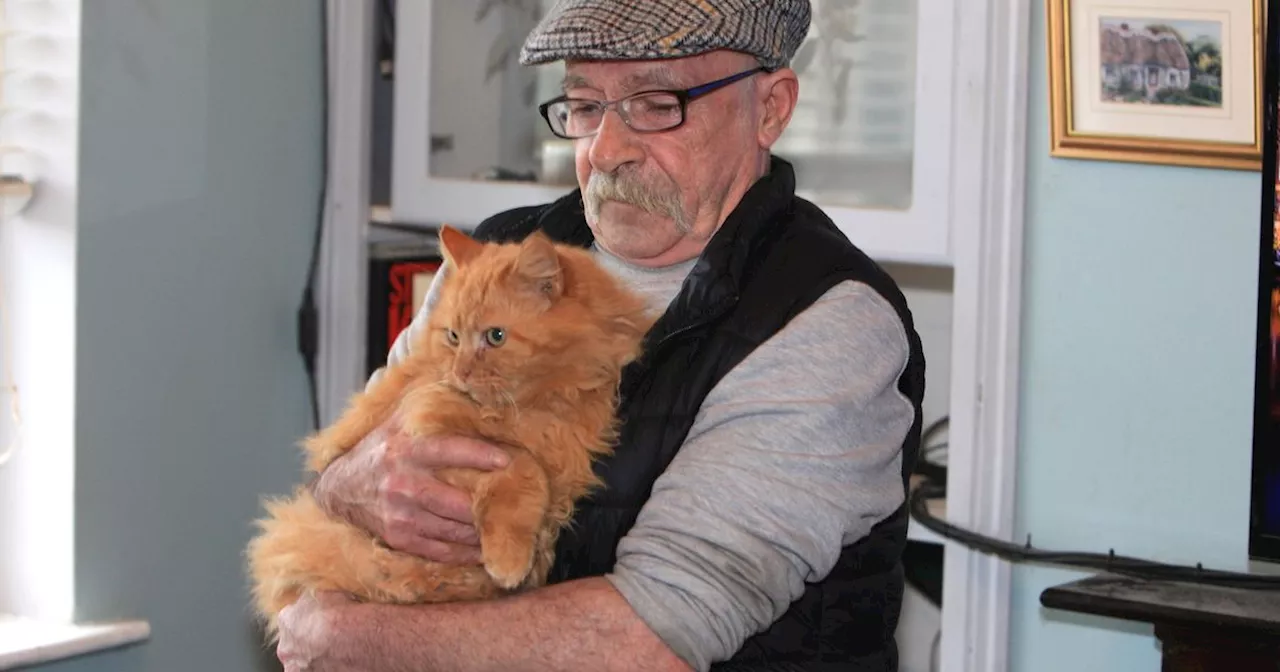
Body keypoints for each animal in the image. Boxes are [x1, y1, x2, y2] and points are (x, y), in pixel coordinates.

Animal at [245, 225, 655, 634]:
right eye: (453, 336)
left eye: (495, 337)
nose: (461, 372)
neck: (539, 405)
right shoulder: (436, 437)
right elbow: (524, 468)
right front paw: (509, 560)